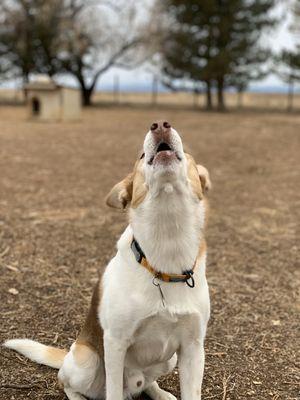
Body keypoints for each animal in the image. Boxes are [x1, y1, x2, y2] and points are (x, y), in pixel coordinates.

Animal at [4, 122, 211, 400]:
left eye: (186, 151)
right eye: (141, 156)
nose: (160, 125)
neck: (168, 244)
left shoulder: (193, 348)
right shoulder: (115, 342)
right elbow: (111, 389)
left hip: (169, 360)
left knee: (147, 382)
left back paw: (160, 393)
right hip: (86, 361)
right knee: (67, 383)